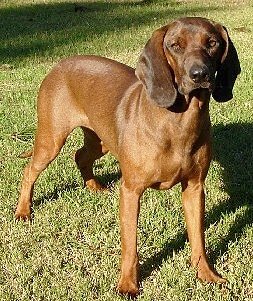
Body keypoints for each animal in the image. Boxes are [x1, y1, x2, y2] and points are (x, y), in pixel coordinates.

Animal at [14, 17, 240, 296]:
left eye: (212, 43)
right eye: (175, 45)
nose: (200, 75)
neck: (179, 123)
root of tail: (59, 64)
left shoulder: (195, 188)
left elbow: (198, 239)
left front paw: (206, 274)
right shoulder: (131, 190)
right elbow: (130, 245)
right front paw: (128, 285)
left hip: (101, 140)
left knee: (81, 156)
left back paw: (94, 186)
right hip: (51, 139)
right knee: (30, 171)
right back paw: (23, 211)